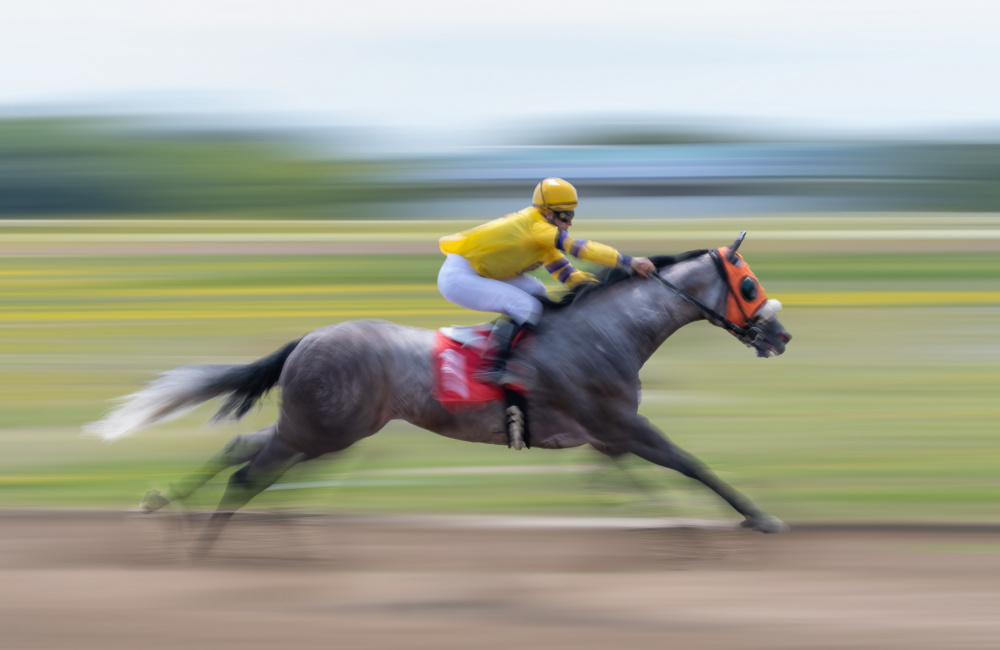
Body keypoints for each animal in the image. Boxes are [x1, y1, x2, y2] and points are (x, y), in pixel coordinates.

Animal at [85, 232, 792, 551]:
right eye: (749, 285)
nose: (781, 334)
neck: (606, 330)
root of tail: (309, 338)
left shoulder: (604, 435)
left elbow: (628, 477)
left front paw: (678, 525)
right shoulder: (620, 423)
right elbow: (690, 463)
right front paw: (757, 517)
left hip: (324, 428)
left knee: (244, 448)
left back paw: (171, 506)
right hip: (324, 428)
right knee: (250, 471)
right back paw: (204, 540)